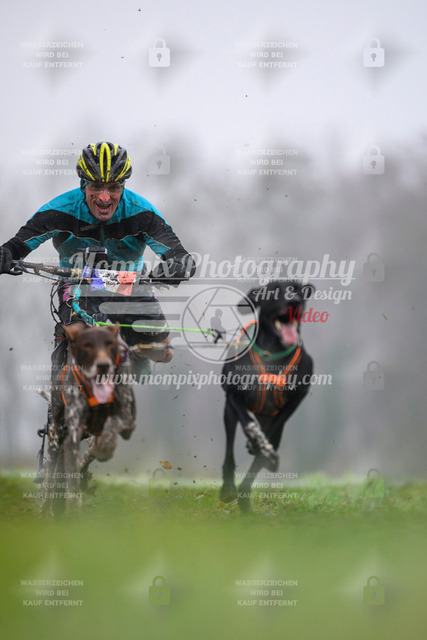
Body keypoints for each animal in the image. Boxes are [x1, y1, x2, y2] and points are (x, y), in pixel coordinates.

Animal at [220, 280, 314, 512]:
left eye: (298, 289)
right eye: (274, 290)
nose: (294, 302)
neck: (273, 354)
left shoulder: (294, 402)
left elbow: (268, 440)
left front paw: (264, 449)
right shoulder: (232, 395)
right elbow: (249, 424)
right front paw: (256, 439)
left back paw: (245, 497)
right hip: (228, 413)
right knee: (229, 449)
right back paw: (229, 489)